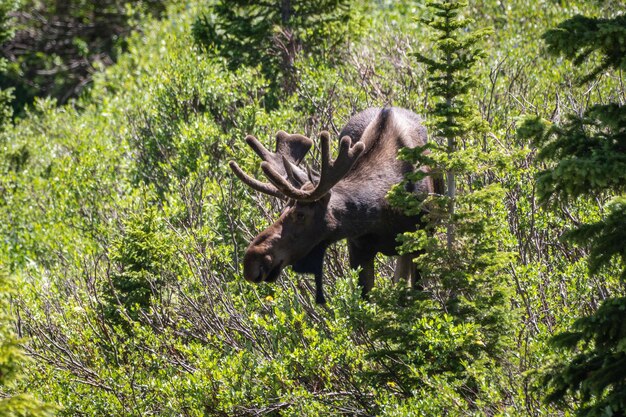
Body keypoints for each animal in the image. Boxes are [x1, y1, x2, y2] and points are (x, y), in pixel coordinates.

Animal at [227, 107, 436, 302]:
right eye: (283, 210)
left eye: (301, 214)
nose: (251, 261)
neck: (383, 214)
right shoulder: (357, 248)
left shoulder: (421, 242)